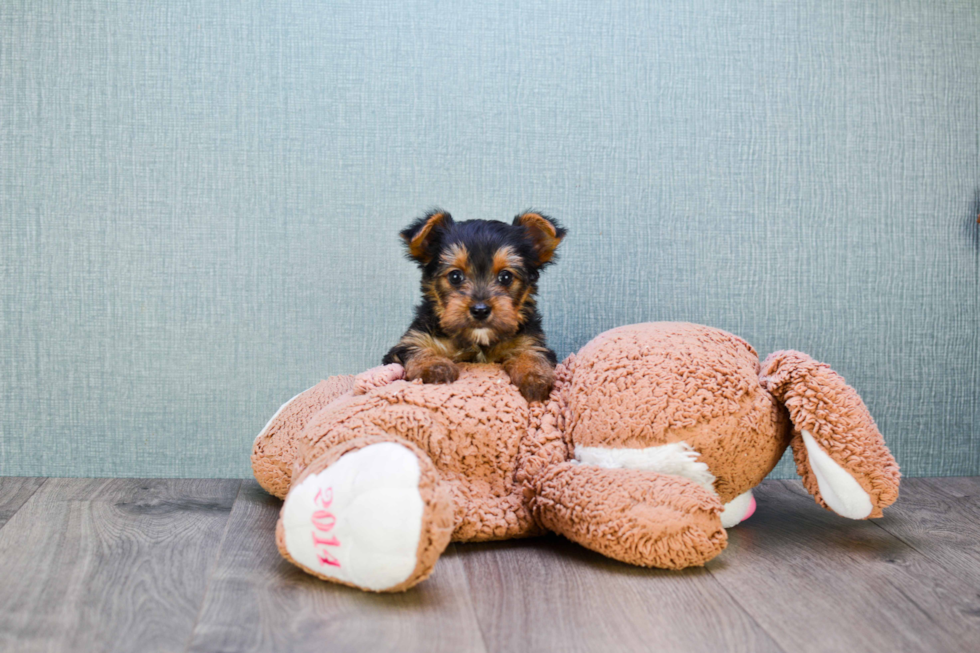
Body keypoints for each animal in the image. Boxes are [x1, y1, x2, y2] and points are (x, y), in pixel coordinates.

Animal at [382, 211, 568, 400]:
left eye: (506, 277)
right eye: (455, 276)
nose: (480, 310)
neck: (477, 340)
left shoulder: (529, 341)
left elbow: (532, 354)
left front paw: (535, 378)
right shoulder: (411, 341)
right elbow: (417, 349)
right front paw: (434, 367)